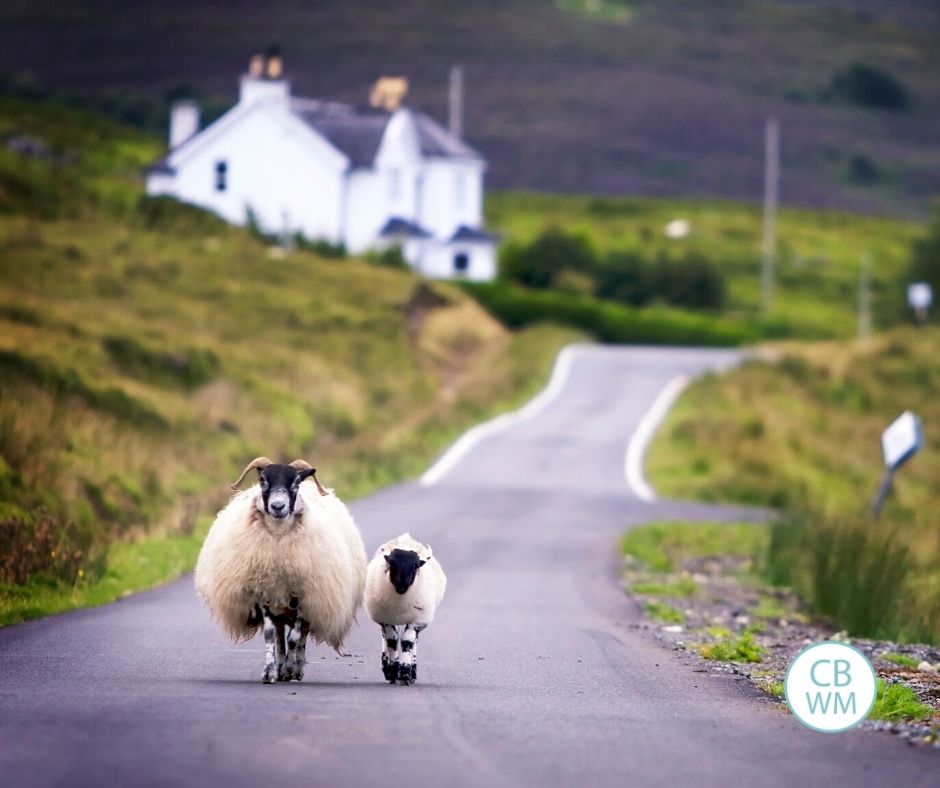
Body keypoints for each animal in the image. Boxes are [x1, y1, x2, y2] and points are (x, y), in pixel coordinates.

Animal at [195, 458, 368, 680]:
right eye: (262, 481)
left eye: (295, 483)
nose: (278, 506)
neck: (278, 542)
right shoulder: (263, 591)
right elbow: (271, 634)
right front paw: (270, 671)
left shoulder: (303, 594)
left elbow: (294, 636)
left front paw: (289, 668)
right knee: (279, 633)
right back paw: (280, 663)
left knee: (301, 635)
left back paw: (296, 667)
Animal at [364, 532, 444, 688]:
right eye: (391, 563)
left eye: (415, 566)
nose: (402, 584)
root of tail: (406, 539)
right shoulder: (385, 620)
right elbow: (392, 640)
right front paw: (392, 671)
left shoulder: (416, 621)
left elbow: (407, 641)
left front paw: (406, 673)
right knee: (385, 637)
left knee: (413, 641)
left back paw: (412, 671)